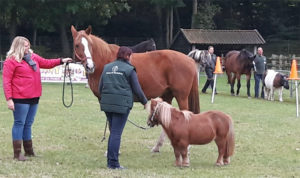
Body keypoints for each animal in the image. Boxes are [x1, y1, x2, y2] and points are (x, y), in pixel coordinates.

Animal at [71, 25, 200, 152]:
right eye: (77, 45)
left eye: (90, 44)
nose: (90, 66)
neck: (106, 60)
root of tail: (189, 60)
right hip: (167, 95)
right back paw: (157, 146)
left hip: (181, 97)